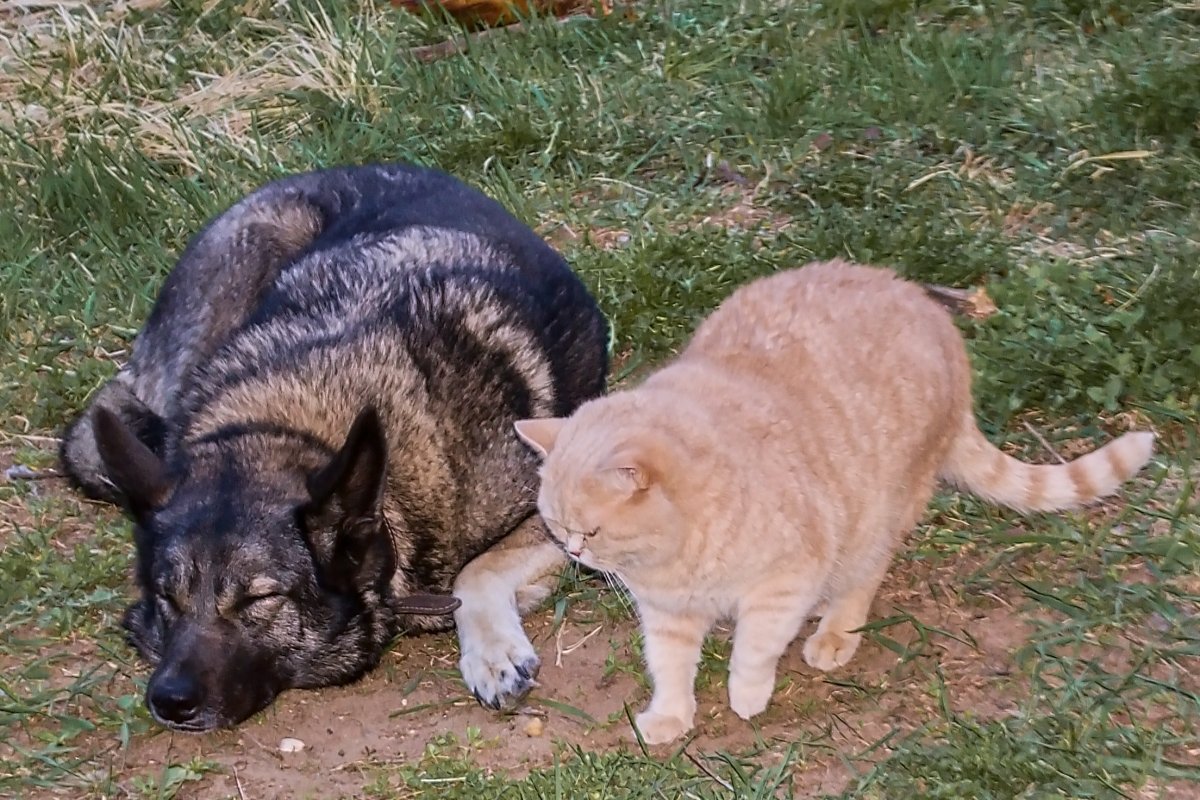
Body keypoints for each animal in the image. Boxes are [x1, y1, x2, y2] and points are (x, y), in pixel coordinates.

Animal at [513, 262, 1152, 743]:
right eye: (554, 527)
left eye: (590, 531)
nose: (576, 556)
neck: (676, 556)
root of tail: (924, 306)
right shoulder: (667, 615)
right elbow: (669, 668)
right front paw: (671, 716)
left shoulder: (783, 581)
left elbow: (756, 647)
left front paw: (747, 692)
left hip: (874, 520)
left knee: (862, 580)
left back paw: (834, 632)